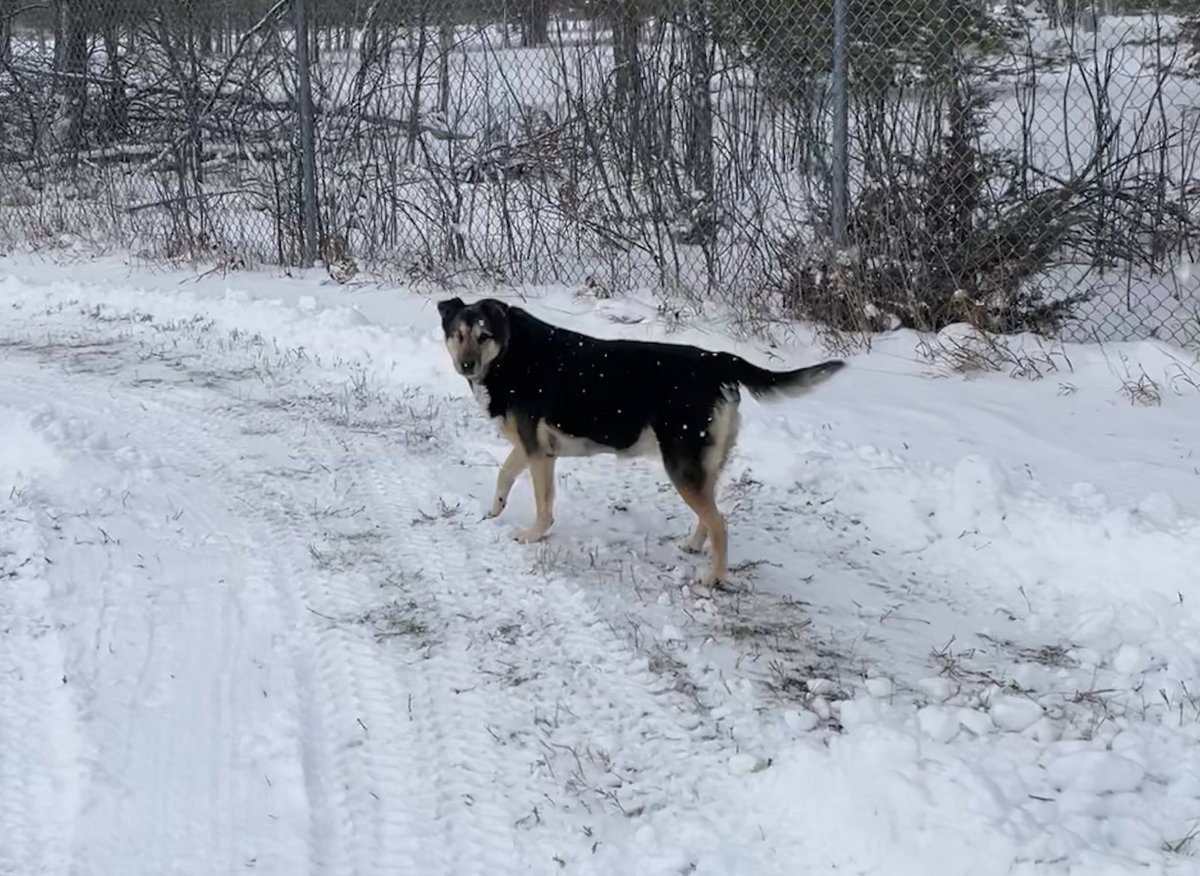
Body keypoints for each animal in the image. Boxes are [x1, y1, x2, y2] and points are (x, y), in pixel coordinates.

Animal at [439, 295, 844, 588]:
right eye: (457, 335)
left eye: (484, 336)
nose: (466, 365)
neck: (511, 352)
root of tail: (716, 359)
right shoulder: (532, 448)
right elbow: (504, 473)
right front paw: (495, 510)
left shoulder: (539, 454)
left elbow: (543, 504)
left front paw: (533, 535)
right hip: (703, 463)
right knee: (710, 514)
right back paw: (694, 545)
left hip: (681, 464)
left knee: (720, 521)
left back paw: (714, 577)